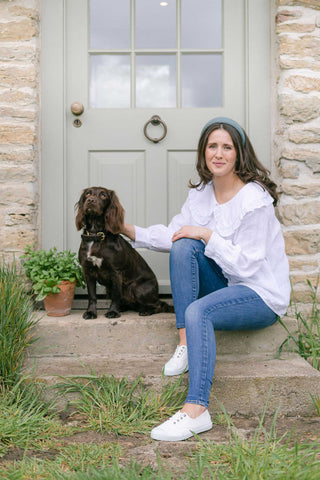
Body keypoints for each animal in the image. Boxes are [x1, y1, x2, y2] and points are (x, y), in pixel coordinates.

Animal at [75, 187, 174, 318]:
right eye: (88, 193)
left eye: (103, 195)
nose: (90, 200)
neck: (96, 235)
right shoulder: (88, 271)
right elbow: (92, 296)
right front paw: (91, 312)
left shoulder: (116, 272)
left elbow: (116, 295)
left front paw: (112, 312)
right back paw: (123, 308)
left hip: (138, 288)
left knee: (158, 305)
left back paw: (146, 310)